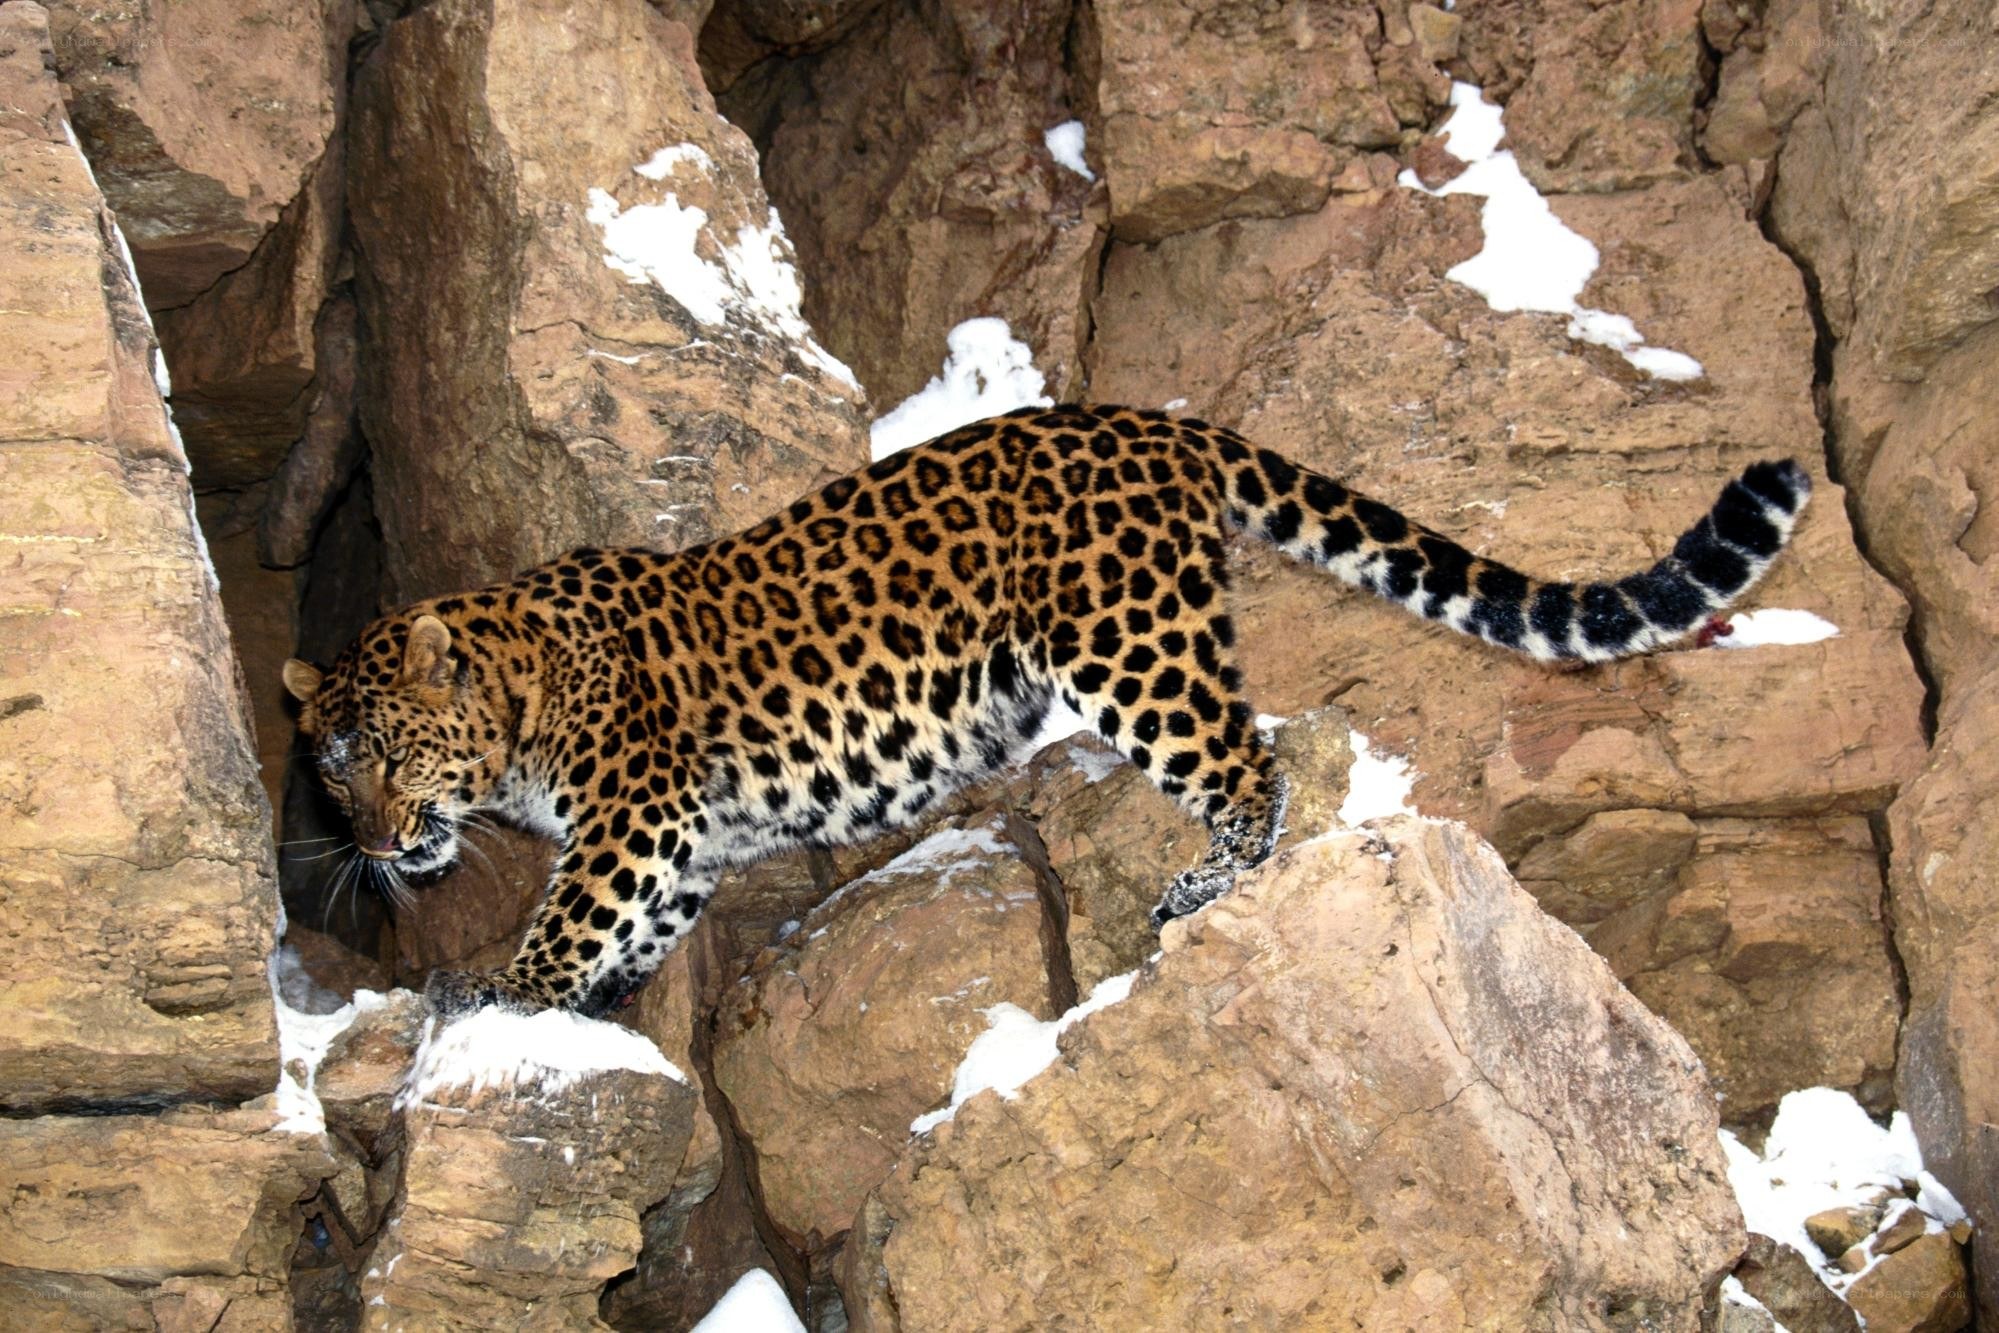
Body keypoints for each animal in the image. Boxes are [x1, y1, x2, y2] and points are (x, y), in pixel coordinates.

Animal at [282, 404, 1811, 1018]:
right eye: (331, 777)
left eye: (389, 753)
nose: (374, 844)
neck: (520, 694)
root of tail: (1153, 421)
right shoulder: (686, 841)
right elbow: (634, 929)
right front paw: (584, 1008)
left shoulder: (636, 809)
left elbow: (571, 914)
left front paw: (498, 990)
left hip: (1123, 642)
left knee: (1249, 760)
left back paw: (1204, 884)